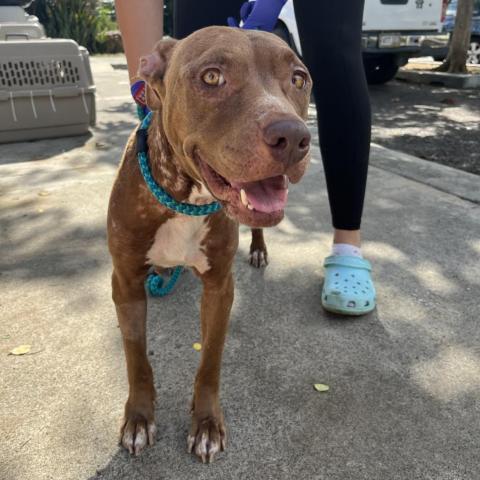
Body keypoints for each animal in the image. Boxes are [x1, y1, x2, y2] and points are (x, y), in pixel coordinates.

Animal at [107, 25, 314, 462]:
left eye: (298, 79)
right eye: (212, 76)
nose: (292, 136)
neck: (185, 198)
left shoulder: (220, 287)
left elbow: (210, 362)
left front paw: (205, 423)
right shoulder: (125, 283)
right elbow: (136, 358)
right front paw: (139, 418)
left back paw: (258, 249)